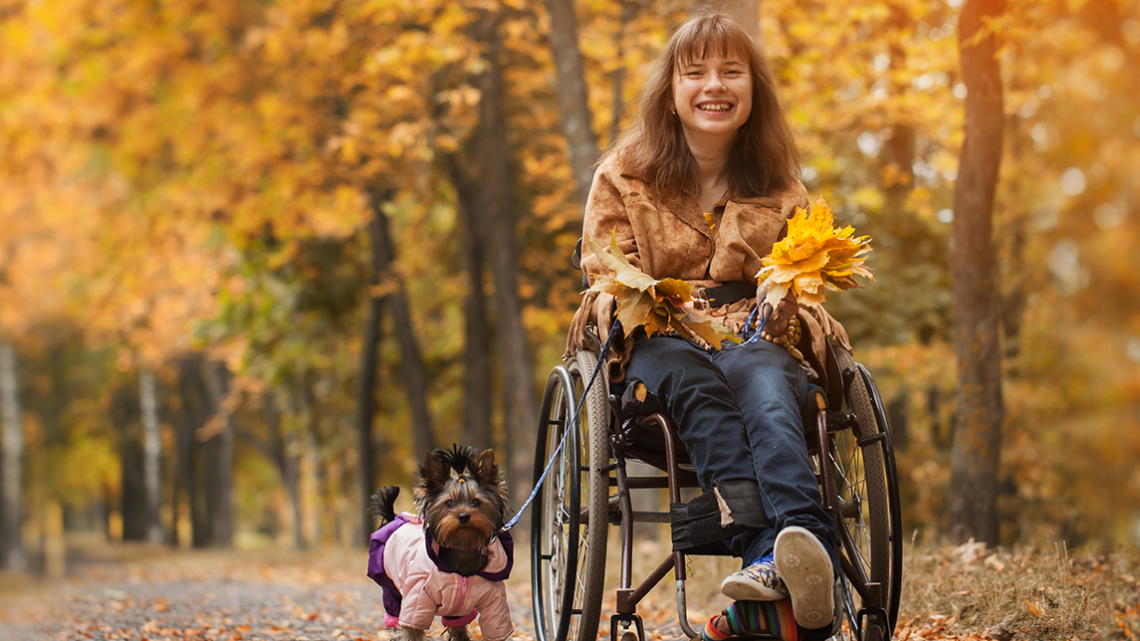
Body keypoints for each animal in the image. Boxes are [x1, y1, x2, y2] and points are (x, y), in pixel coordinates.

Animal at [367, 444, 515, 638]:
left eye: (476, 501)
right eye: (449, 502)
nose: (463, 516)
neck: (462, 548)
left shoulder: (495, 602)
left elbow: (492, 626)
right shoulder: (417, 598)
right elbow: (412, 628)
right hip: (392, 588)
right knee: (395, 613)